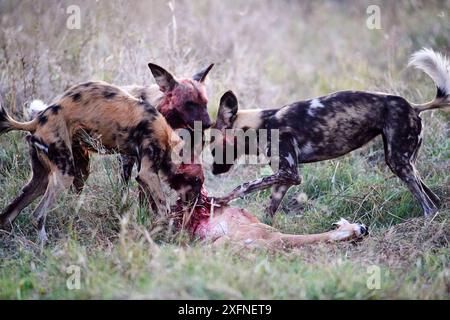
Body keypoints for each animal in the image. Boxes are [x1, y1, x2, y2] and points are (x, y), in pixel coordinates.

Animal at [0, 81, 202, 241]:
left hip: (46, 178)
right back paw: (45, 245)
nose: (197, 204)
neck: (165, 136)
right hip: (65, 175)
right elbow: (164, 208)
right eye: (196, 181)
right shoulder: (148, 173)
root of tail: (37, 120)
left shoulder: (137, 169)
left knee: (10, 213)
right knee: (38, 215)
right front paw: (170, 234)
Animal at [211, 48, 450, 218]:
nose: (213, 171)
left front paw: (220, 199)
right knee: (433, 200)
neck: (261, 124)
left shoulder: (289, 173)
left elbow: (244, 185)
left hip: (398, 162)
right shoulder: (285, 177)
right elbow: (269, 209)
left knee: (428, 206)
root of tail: (414, 106)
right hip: (404, 163)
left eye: (213, 148)